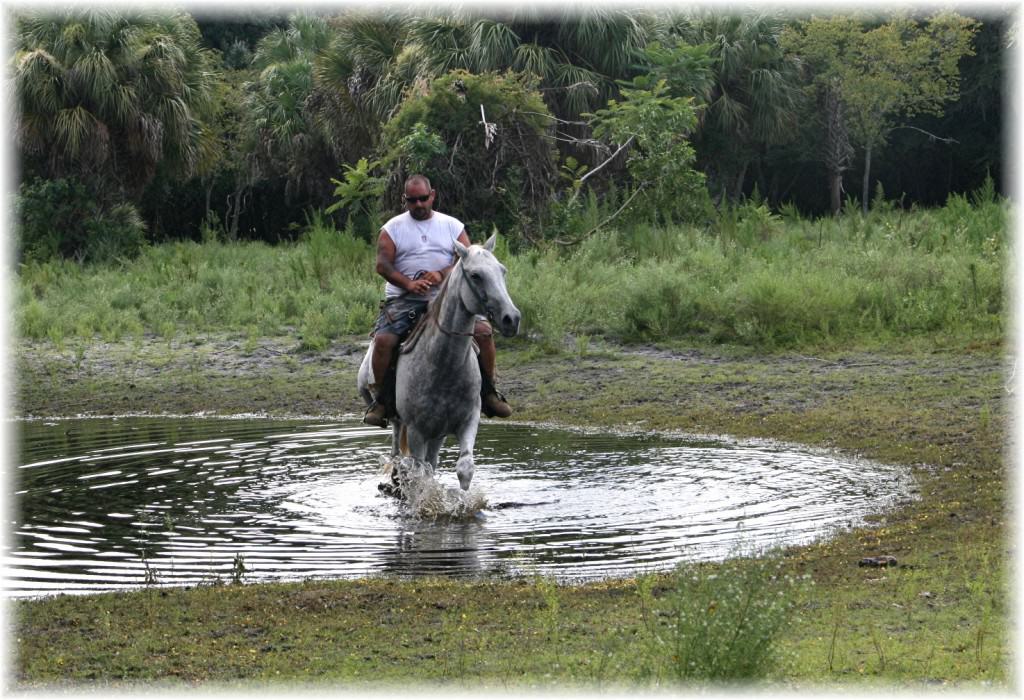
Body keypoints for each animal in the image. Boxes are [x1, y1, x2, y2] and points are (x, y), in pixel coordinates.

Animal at [358, 235, 520, 491]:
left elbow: (464, 468)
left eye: (502, 271)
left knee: (428, 461)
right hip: (398, 421)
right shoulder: (416, 431)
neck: (443, 365)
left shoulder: (468, 420)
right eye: (476, 276)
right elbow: (419, 473)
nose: (511, 319)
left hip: (438, 433)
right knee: (398, 455)